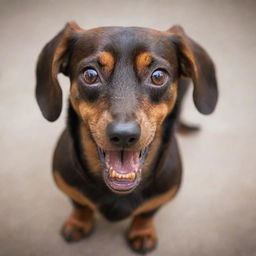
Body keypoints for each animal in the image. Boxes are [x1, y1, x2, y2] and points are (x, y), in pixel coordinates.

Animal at [35, 22, 217, 254]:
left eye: (158, 76)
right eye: (90, 74)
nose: (123, 135)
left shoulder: (162, 195)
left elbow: (146, 213)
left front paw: (142, 232)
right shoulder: (67, 183)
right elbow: (80, 204)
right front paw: (79, 223)